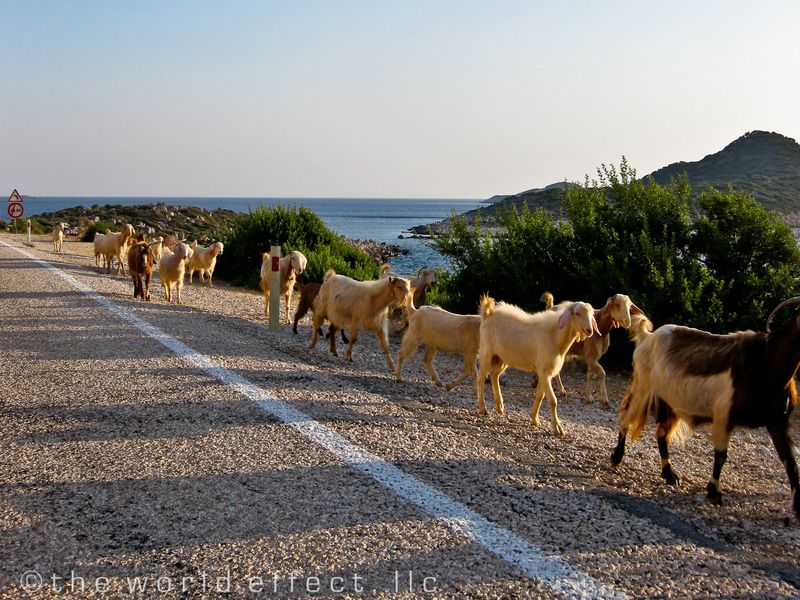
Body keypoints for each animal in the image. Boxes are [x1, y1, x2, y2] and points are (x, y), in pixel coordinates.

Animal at [477, 296, 599, 437]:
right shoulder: (544, 371)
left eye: (591, 315)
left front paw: (534, 420)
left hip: (502, 358)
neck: (555, 337)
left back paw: (499, 407)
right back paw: (483, 408)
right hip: (486, 352)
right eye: (577, 313)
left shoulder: (545, 372)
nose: (589, 330)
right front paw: (557, 429)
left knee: (494, 375)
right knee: (480, 378)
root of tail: (488, 312)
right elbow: (553, 400)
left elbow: (540, 396)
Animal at [611, 298, 800, 520]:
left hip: (670, 401)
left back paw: (669, 474)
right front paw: (714, 493)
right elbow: (721, 456)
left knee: (661, 434)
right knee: (627, 417)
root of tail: (648, 337)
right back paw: (617, 457)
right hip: (644, 385)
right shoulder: (724, 416)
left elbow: (790, 461)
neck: (767, 363)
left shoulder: (777, 421)